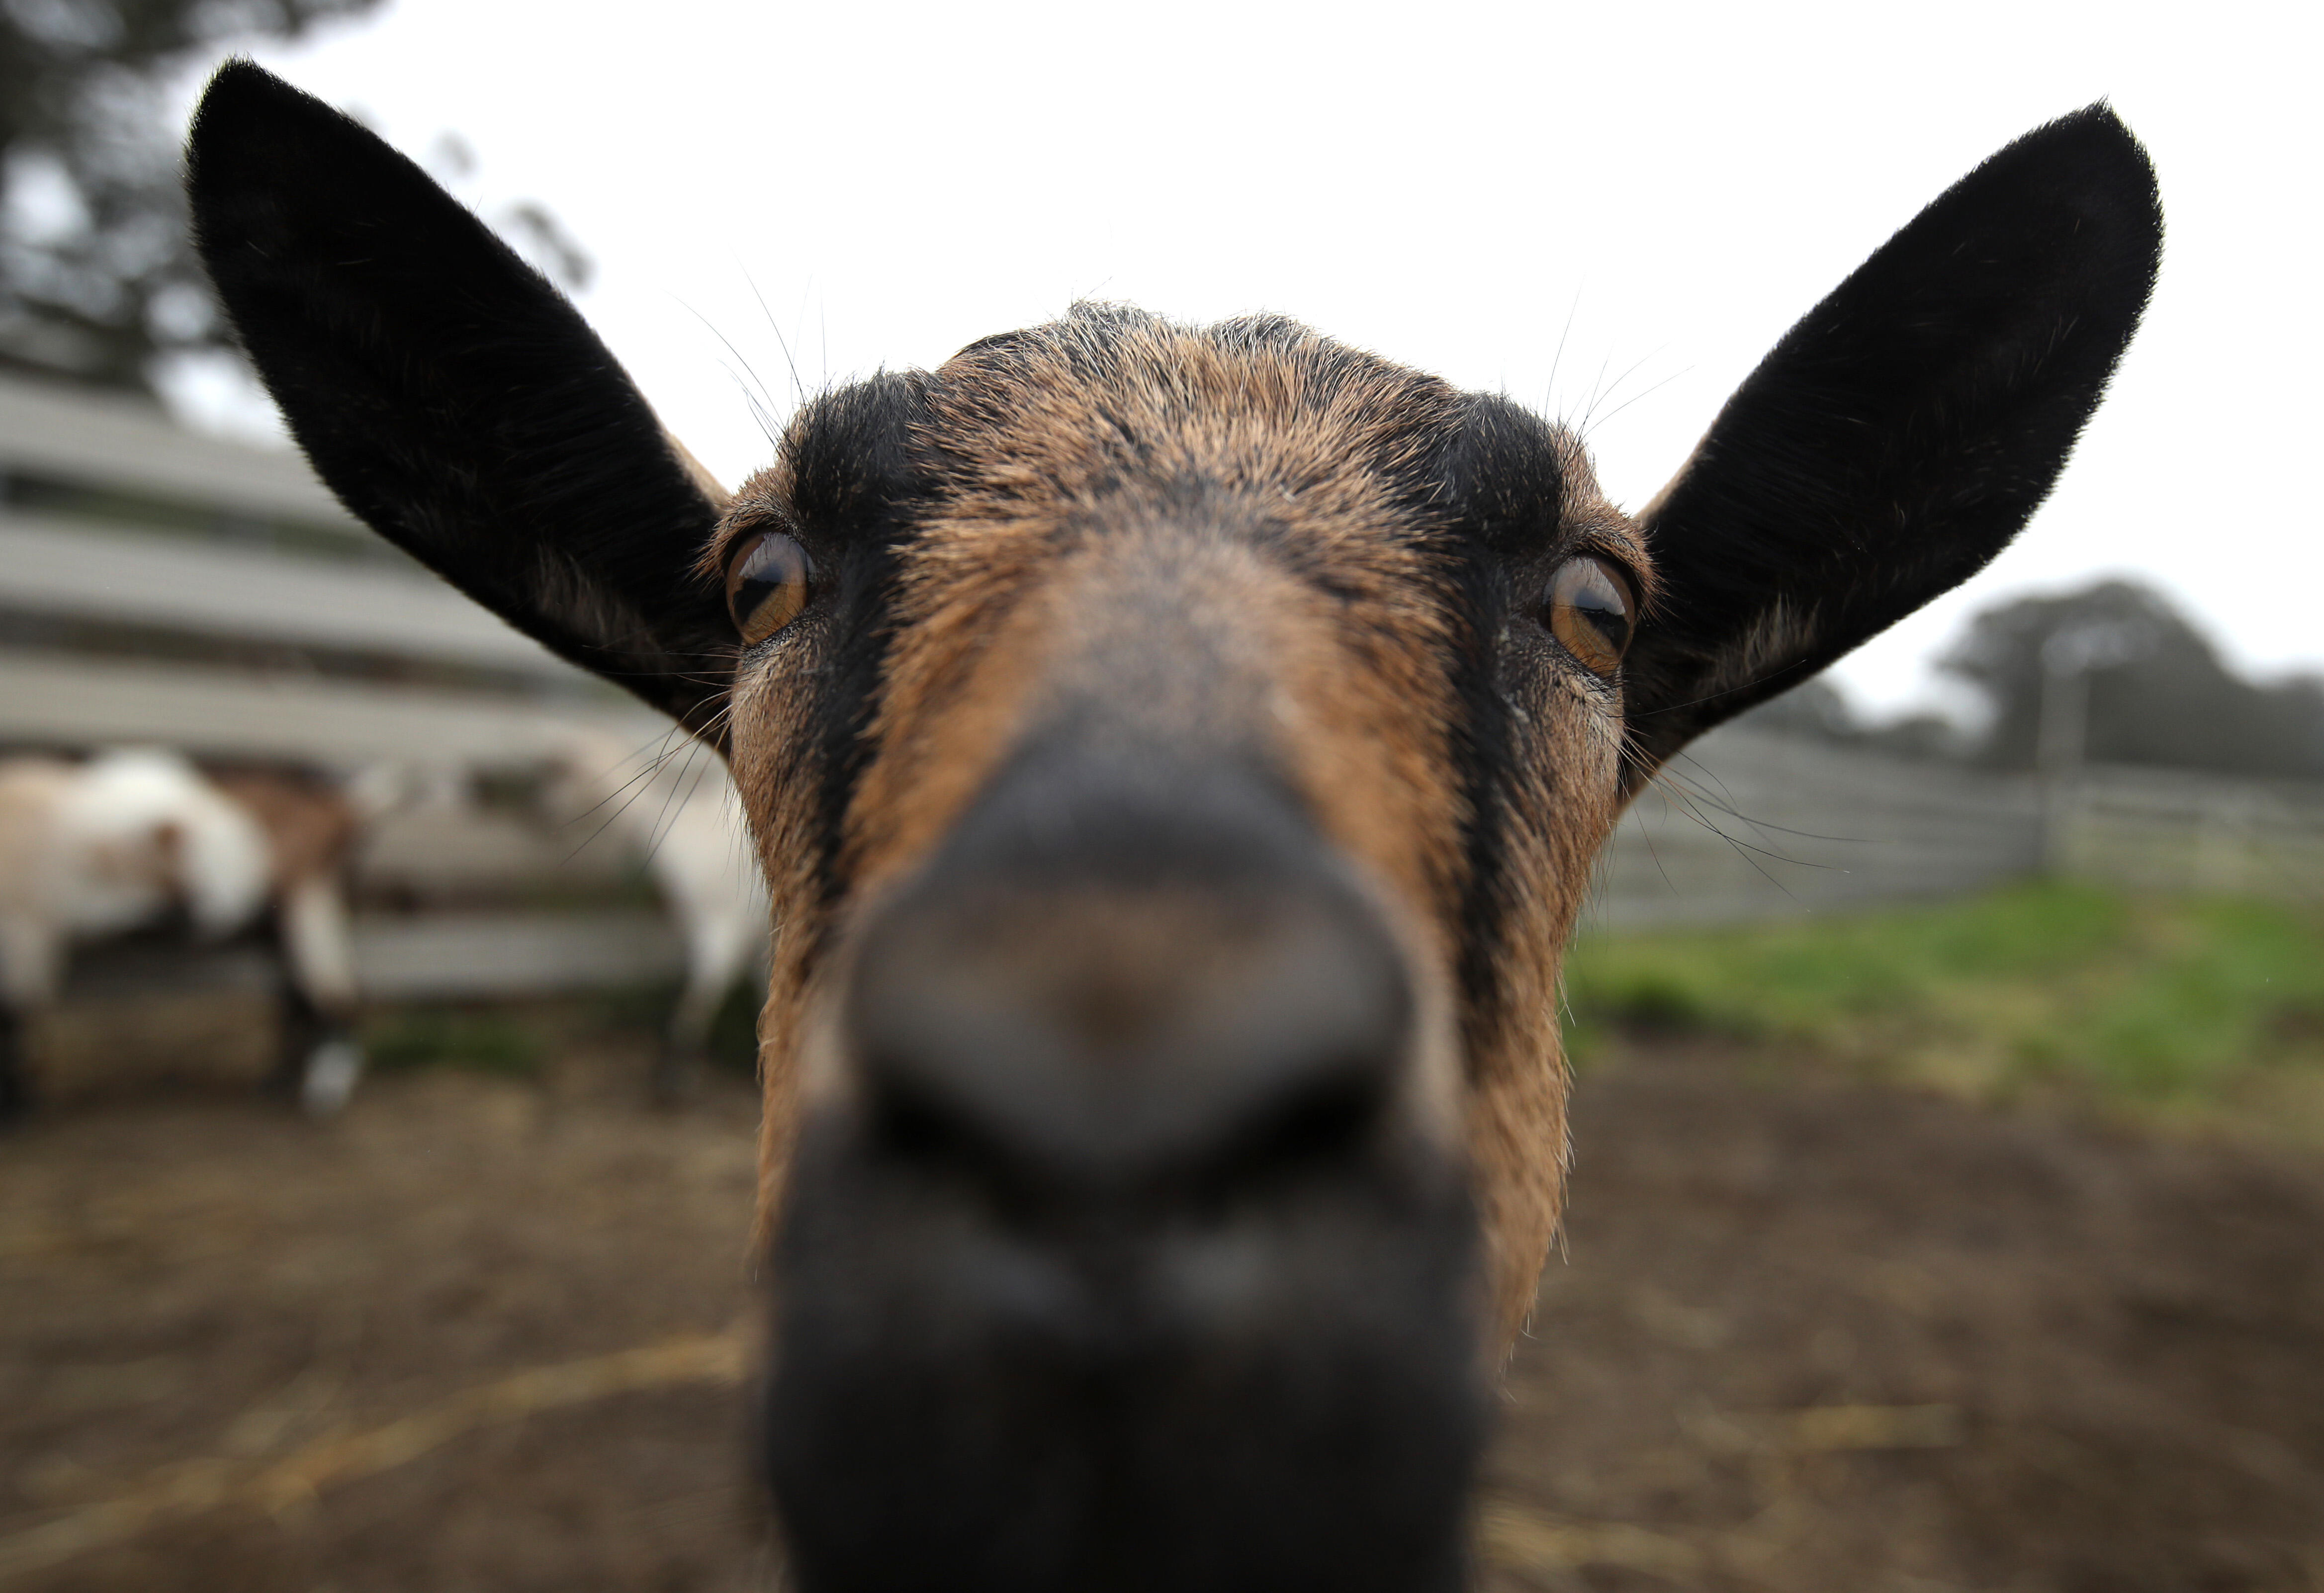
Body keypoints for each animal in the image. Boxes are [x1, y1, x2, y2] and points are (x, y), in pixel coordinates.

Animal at [0, 748, 372, 1118]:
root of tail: (342, 805)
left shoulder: (29, 925)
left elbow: (17, 1012)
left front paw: (20, 1105)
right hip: (278, 916)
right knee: (299, 992)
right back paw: (281, 1081)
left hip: (307, 899)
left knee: (334, 993)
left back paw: (324, 1093)